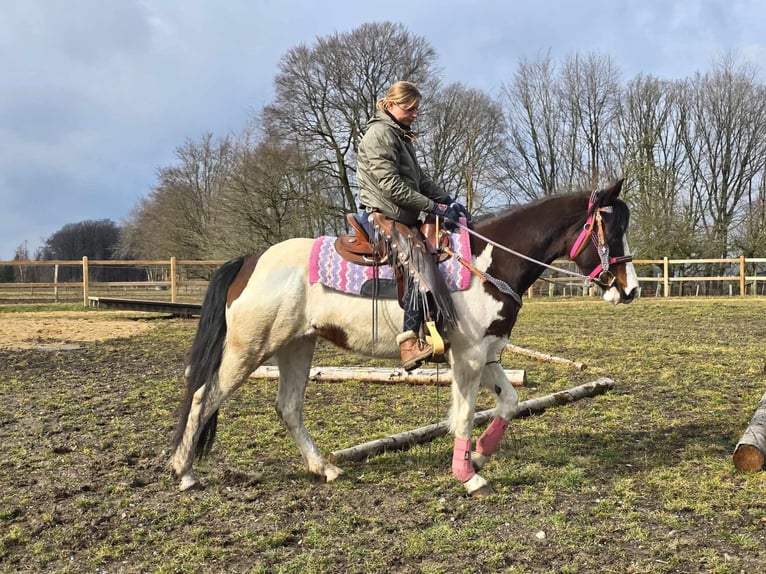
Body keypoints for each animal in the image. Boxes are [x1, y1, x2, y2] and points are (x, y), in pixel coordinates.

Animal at [171, 178, 640, 498]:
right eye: (610, 229)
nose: (631, 289)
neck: (488, 262)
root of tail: (249, 260)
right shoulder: (468, 357)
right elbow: (464, 415)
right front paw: (468, 476)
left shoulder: (487, 353)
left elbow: (509, 401)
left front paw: (479, 454)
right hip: (248, 349)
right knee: (203, 397)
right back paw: (185, 471)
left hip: (296, 346)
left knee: (287, 407)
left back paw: (325, 468)